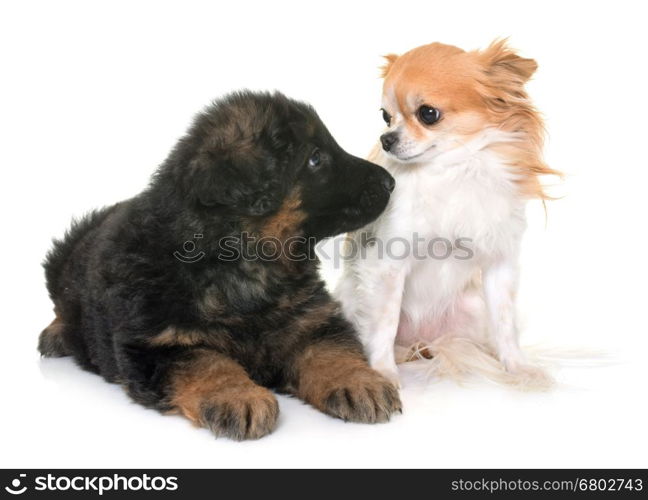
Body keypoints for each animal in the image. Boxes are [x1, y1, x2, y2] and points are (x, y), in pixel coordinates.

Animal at [39, 92, 400, 440]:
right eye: (315, 158)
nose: (390, 182)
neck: (244, 262)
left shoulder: (311, 319)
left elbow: (330, 350)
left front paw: (360, 382)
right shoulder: (156, 345)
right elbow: (208, 362)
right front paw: (238, 397)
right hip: (61, 261)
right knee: (62, 308)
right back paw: (54, 335)